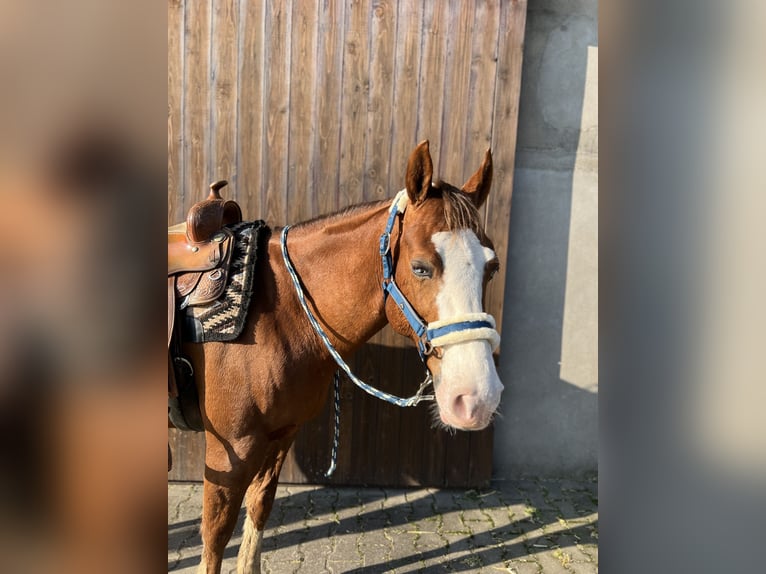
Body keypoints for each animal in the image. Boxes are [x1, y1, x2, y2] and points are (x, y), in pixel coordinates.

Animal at [178, 141, 504, 574]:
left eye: (491, 267)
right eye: (420, 267)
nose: (477, 398)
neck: (279, 312)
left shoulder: (280, 437)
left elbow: (259, 512)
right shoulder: (230, 451)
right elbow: (215, 540)